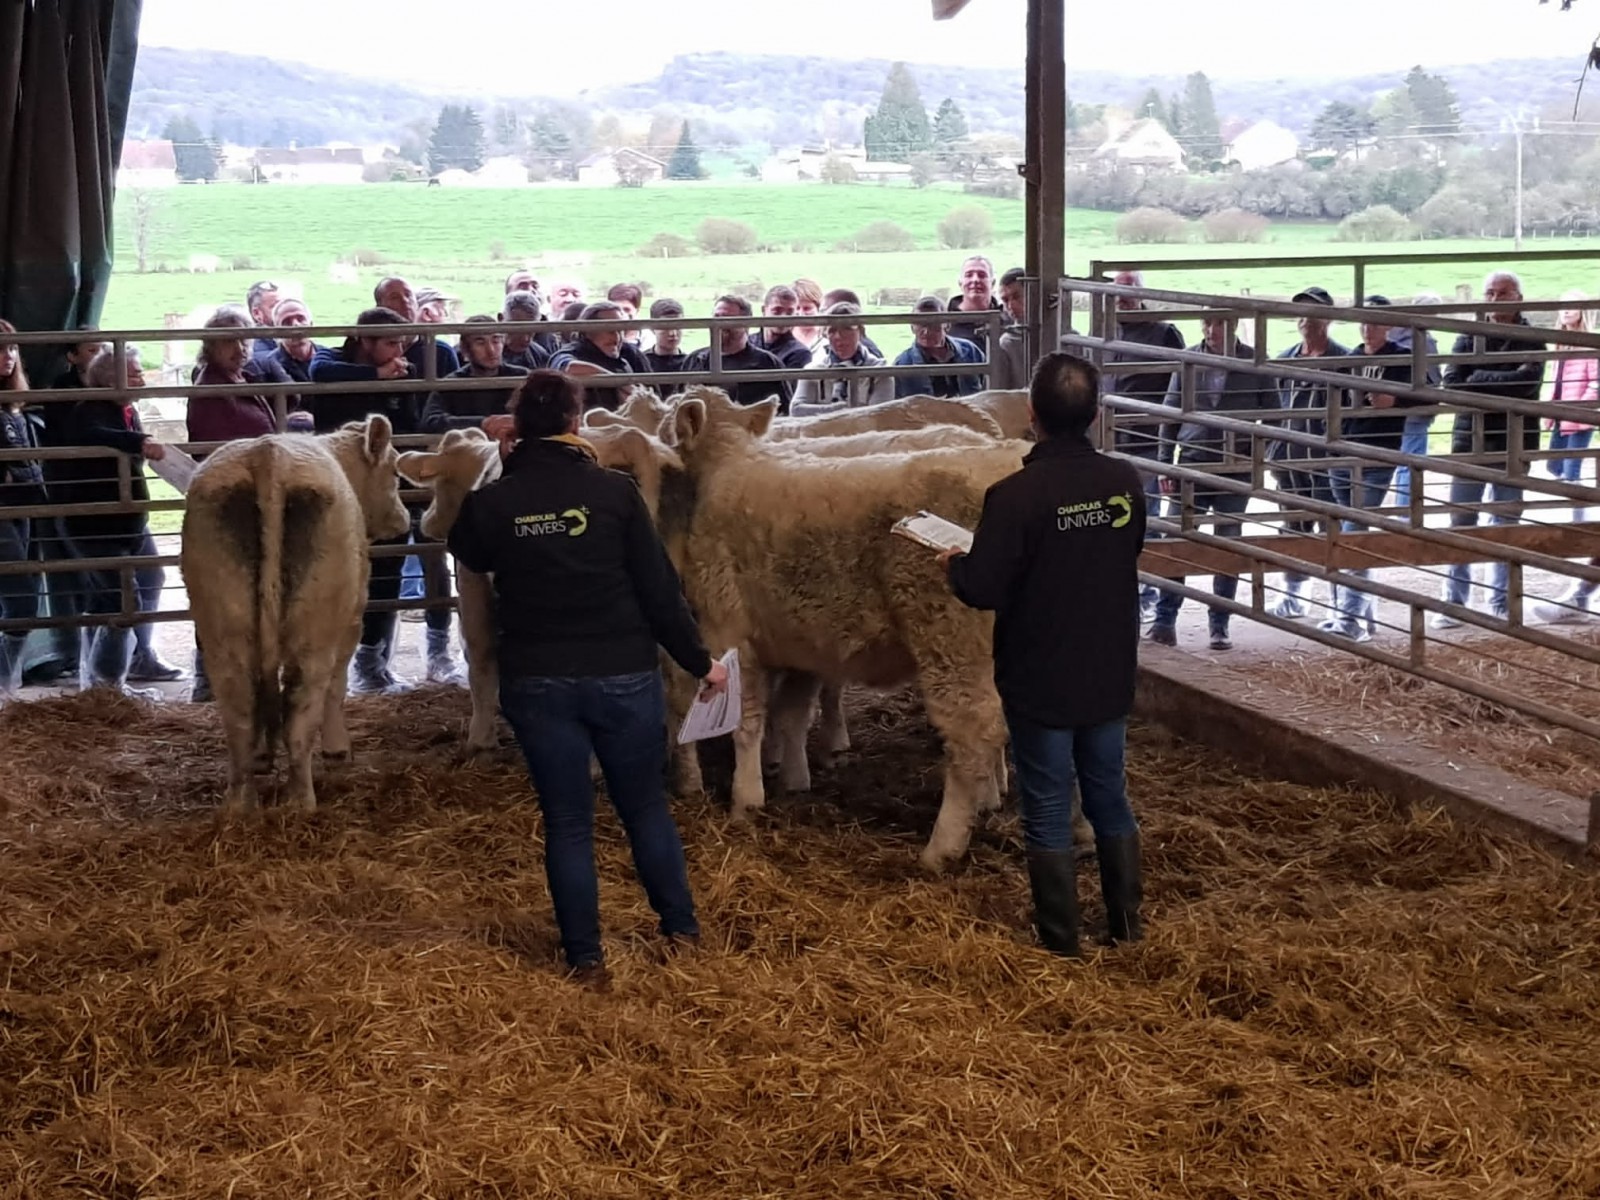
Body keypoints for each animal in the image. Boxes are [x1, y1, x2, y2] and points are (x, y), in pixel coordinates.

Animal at [180, 416, 412, 819]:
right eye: (394, 473)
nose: (404, 519)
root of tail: (267, 455)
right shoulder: (351, 620)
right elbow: (338, 685)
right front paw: (337, 748)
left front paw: (263, 755)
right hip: (315, 632)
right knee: (302, 707)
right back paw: (301, 801)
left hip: (222, 625)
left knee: (241, 708)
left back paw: (240, 804)